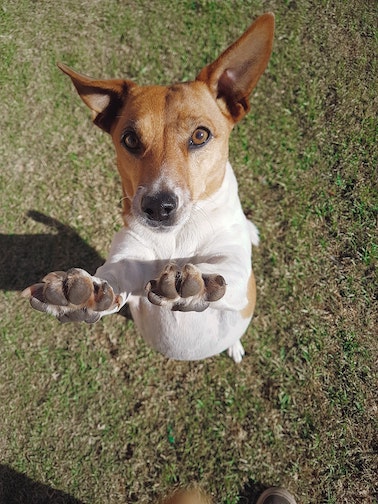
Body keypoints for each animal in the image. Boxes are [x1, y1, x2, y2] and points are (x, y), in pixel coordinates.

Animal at [21, 13, 274, 362]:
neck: (177, 238)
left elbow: (224, 275)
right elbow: (113, 277)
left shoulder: (236, 271)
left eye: (200, 135)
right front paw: (79, 292)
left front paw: (194, 284)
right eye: (130, 139)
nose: (158, 206)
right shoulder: (128, 259)